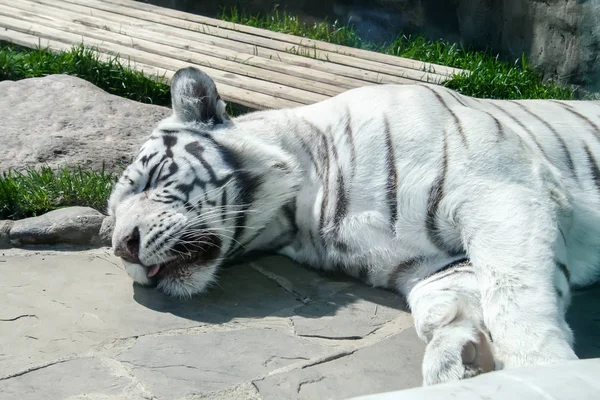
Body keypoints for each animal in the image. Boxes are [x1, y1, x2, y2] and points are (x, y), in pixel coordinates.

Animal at [108, 67, 600, 386]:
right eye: (111, 218)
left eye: (154, 178)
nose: (124, 248)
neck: (303, 214)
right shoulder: (432, 263)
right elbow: (443, 305)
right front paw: (459, 361)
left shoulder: (501, 188)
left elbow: (515, 296)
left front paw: (542, 374)